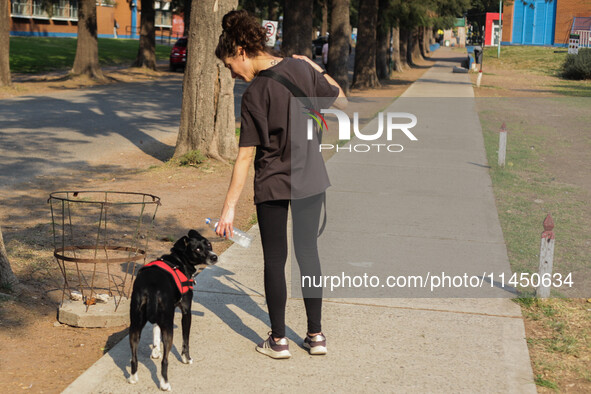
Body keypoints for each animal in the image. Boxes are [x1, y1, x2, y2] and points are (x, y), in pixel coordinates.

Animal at [128, 229, 219, 390]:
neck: (179, 261)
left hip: (135, 326)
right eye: (197, 249)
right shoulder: (186, 311)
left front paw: (155, 350)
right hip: (168, 328)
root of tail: (150, 288)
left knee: (134, 358)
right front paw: (186, 358)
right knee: (165, 361)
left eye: (208, 244)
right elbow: (185, 340)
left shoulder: (160, 317)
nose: (214, 257)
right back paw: (165, 384)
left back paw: (133, 378)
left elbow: (155, 330)